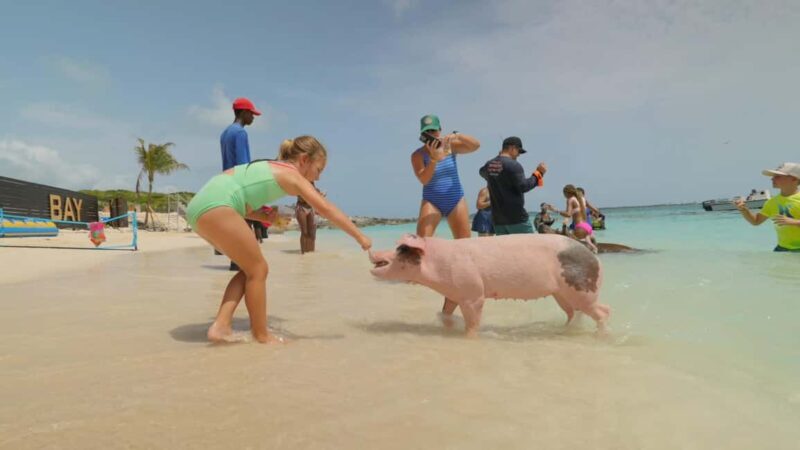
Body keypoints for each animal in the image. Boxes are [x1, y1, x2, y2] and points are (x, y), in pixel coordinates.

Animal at [369, 233, 609, 337]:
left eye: (401, 250)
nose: (373, 251)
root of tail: (592, 253)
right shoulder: (453, 293)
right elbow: (445, 311)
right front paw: (446, 324)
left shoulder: (473, 293)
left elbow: (473, 321)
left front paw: (468, 336)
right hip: (561, 294)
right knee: (573, 313)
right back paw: (564, 330)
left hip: (582, 290)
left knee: (604, 311)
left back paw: (601, 333)